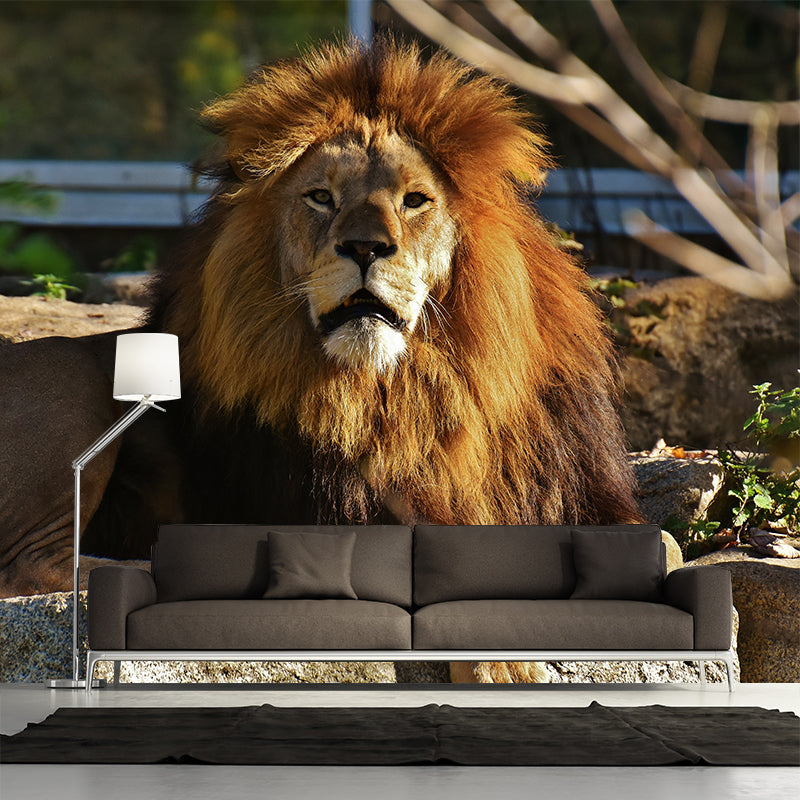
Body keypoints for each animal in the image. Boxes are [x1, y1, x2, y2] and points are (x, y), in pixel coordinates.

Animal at [0, 38, 641, 681]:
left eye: (415, 201)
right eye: (321, 197)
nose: (365, 247)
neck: (403, 394)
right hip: (80, 374)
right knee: (29, 567)